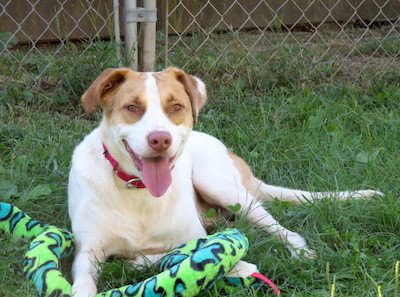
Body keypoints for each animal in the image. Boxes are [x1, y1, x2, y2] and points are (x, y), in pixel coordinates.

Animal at [68, 67, 382, 296]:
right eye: (132, 107)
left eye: (176, 107)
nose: (160, 140)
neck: (139, 191)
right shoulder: (87, 252)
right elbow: (83, 281)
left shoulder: (193, 235)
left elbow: (187, 254)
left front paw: (237, 267)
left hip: (220, 185)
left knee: (280, 228)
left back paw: (300, 251)